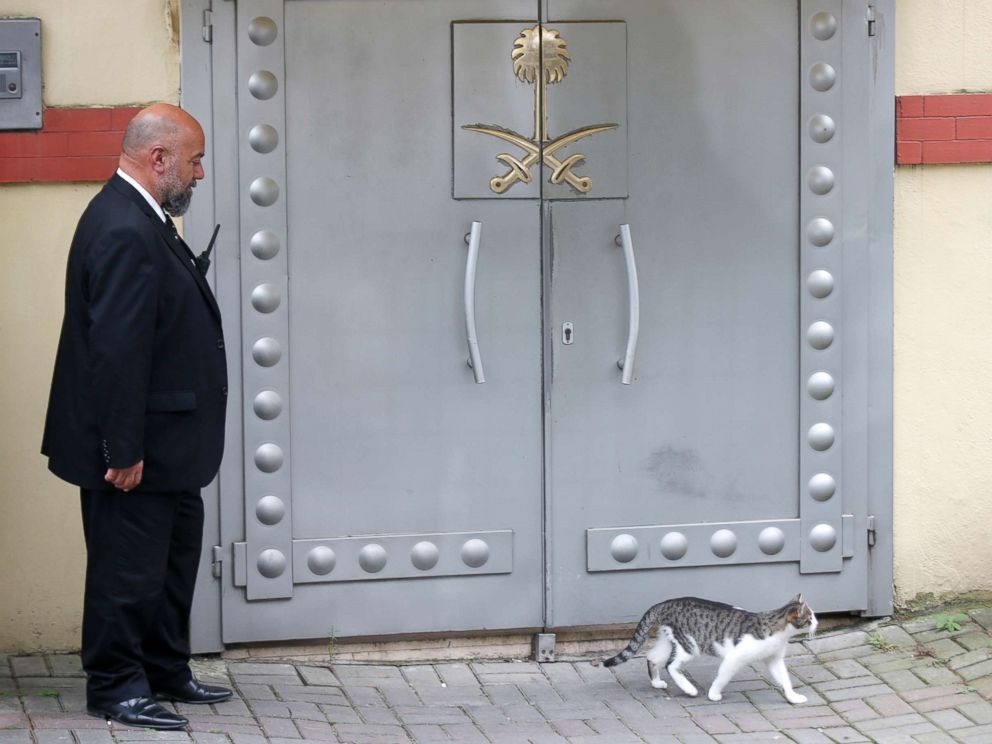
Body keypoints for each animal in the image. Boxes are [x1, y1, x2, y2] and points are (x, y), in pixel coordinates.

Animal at [592, 592, 816, 704]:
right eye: (810, 618)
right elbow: (722, 677)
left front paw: (793, 697)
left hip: (669, 639)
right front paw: (714, 694)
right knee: (671, 665)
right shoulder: (734, 657)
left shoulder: (774, 659)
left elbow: (784, 679)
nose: (816, 623)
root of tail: (665, 603)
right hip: (689, 645)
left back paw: (656, 682)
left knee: (653, 657)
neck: (778, 631)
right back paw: (689, 689)